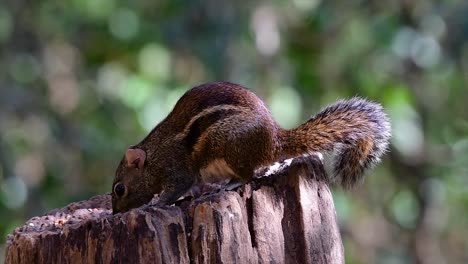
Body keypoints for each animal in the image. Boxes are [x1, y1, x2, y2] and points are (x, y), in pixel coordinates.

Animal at [112, 81, 392, 213]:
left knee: (249, 174)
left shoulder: (176, 168)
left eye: (119, 189)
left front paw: (154, 204)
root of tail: (274, 140)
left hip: (231, 147)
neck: (154, 155)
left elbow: (176, 189)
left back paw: (231, 183)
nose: (115, 213)